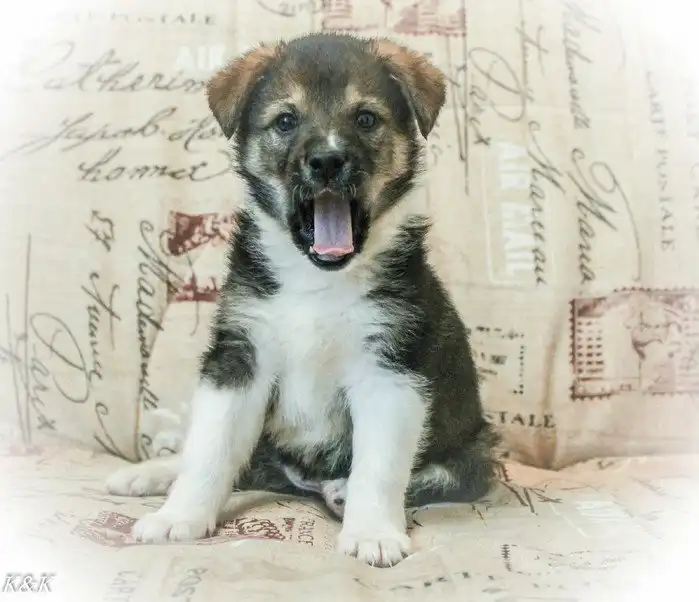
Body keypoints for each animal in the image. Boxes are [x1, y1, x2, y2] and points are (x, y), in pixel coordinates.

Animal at [106, 33, 499, 567]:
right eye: (286, 121)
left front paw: (372, 531)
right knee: (228, 459)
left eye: (366, 118)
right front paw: (179, 517)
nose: (328, 161)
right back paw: (148, 473)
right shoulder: (240, 357)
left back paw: (339, 491)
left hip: (477, 449)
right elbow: (210, 450)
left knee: (441, 474)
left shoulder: (391, 368)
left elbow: (379, 466)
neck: (318, 283)